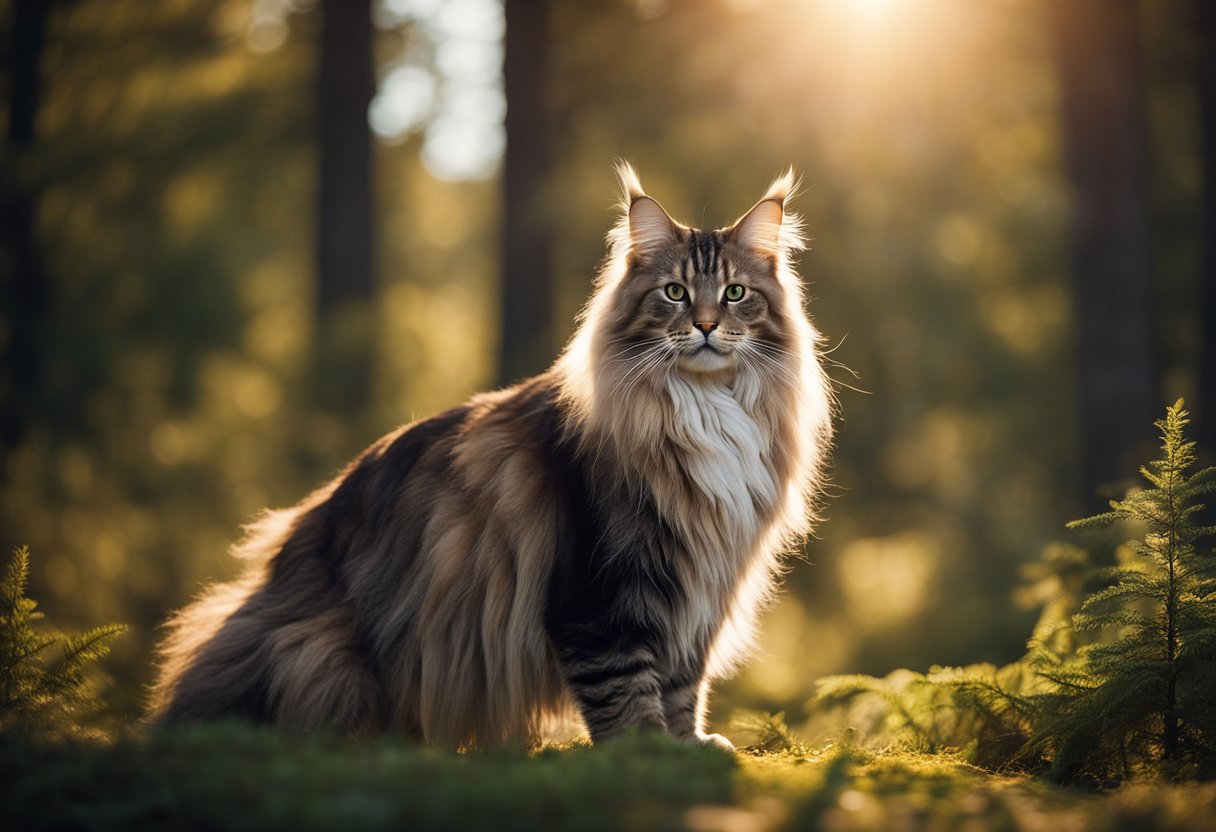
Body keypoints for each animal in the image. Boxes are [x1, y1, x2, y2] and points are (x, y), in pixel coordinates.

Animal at [149, 164, 836, 749]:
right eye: (674, 292)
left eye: (736, 293)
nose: (706, 325)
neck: (704, 409)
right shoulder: (601, 590)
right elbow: (626, 690)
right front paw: (650, 753)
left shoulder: (697, 587)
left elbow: (682, 683)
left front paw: (689, 743)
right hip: (321, 652)